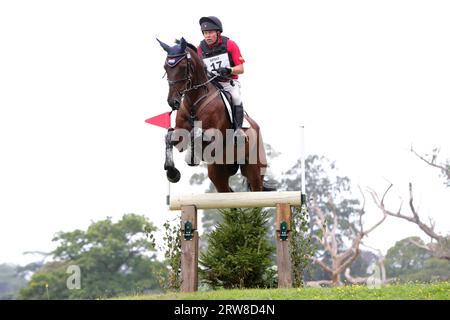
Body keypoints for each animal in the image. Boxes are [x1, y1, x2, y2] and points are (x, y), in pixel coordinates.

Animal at [158, 38, 272, 192]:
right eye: (166, 67)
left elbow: (195, 133)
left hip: (254, 170)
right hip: (218, 171)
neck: (194, 103)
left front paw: (191, 157)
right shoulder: (180, 133)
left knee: (256, 188)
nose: (173, 102)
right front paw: (172, 173)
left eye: (182, 67)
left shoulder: (214, 136)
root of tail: (256, 126)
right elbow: (169, 137)